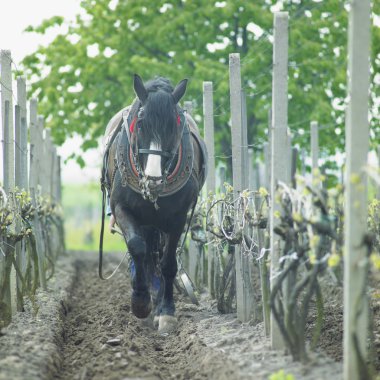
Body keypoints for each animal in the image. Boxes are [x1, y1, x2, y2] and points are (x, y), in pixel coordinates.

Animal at [102, 75, 206, 332]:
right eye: (140, 124)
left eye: (174, 126)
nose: (153, 179)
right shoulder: (122, 208)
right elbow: (137, 247)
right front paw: (140, 302)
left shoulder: (178, 218)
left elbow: (168, 263)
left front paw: (166, 312)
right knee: (146, 252)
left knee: (158, 256)